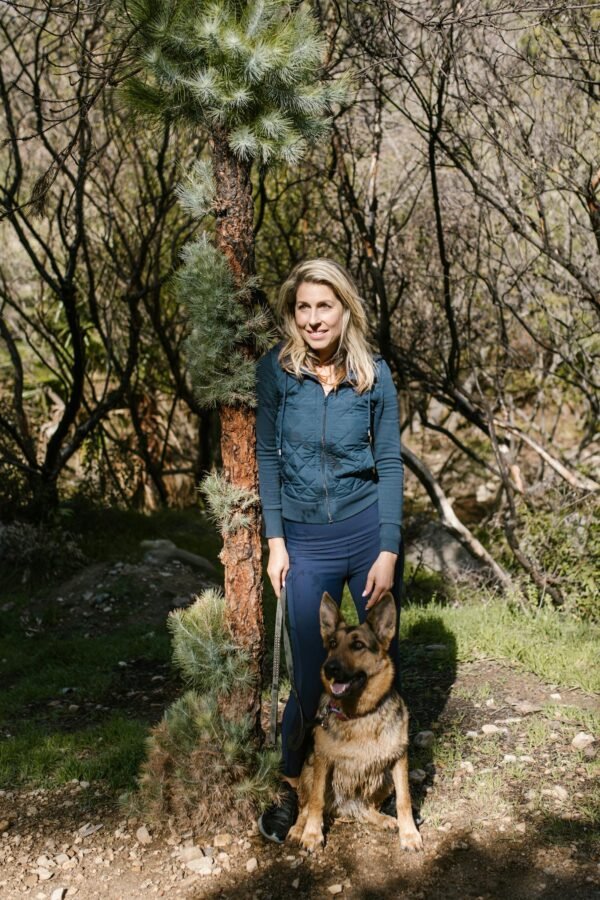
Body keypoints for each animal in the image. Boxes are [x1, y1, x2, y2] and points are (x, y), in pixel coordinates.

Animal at [290, 596, 422, 856]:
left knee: (365, 807)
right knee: (304, 805)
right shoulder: (322, 760)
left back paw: (381, 818)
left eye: (358, 645)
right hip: (308, 770)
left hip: (384, 778)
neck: (359, 714)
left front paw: (409, 834)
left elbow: (405, 800)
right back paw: (299, 828)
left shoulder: (399, 759)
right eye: (332, 643)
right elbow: (316, 801)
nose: (329, 668)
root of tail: (344, 806)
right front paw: (312, 834)